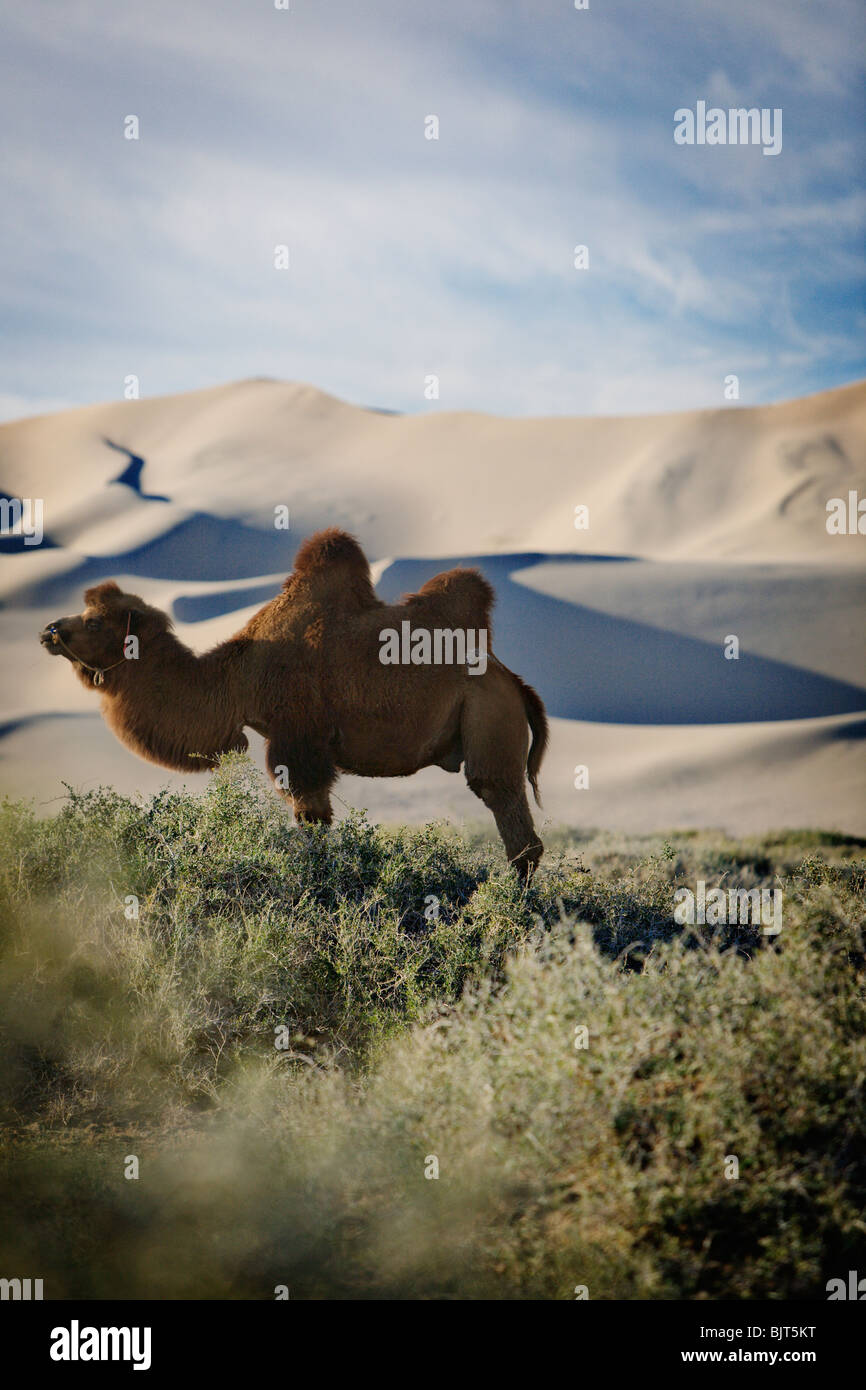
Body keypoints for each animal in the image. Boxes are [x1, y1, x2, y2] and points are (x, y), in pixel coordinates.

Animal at [40, 525, 547, 872]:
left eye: (94, 621)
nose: (50, 631)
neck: (239, 677)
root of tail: (515, 682)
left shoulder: (296, 737)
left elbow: (312, 819)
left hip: (490, 717)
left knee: (507, 812)